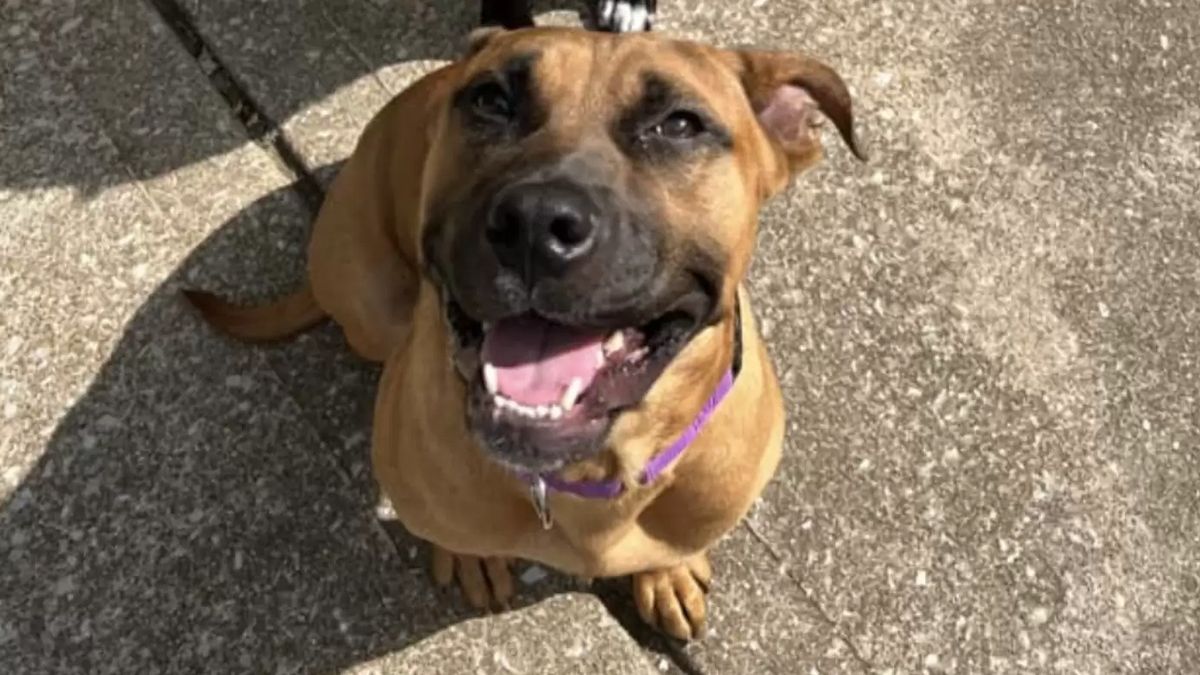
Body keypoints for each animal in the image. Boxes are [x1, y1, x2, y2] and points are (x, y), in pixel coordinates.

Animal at [184, 26, 864, 634]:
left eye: (679, 125)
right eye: (492, 100)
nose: (536, 223)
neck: (597, 472)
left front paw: (666, 572)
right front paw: (471, 557)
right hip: (371, 300)